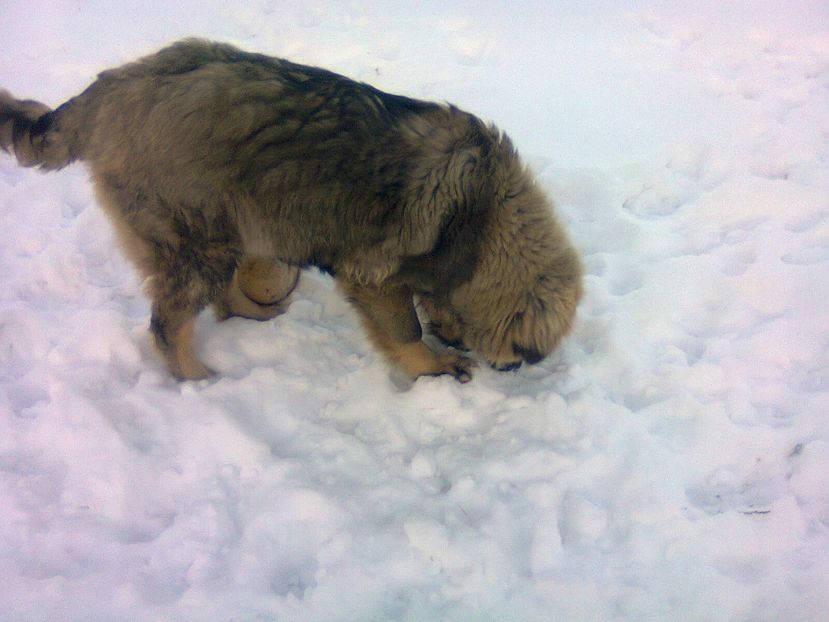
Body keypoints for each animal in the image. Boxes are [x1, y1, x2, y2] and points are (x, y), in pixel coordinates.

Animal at [0, 39, 584, 382]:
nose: (511, 370)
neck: (482, 216)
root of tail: (108, 90)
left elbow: (431, 297)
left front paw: (446, 326)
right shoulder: (373, 275)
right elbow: (405, 330)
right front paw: (433, 365)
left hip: (231, 223)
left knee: (225, 293)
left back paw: (258, 315)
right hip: (195, 237)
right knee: (170, 322)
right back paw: (197, 381)